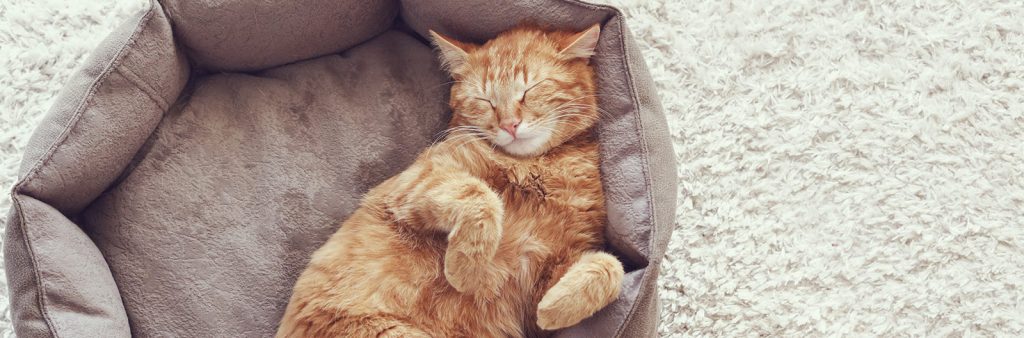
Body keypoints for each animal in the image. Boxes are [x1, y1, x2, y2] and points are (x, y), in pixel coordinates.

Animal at [274, 24, 622, 338]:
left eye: (531, 89)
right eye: (484, 100)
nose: (509, 125)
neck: (534, 168)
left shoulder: (543, 276)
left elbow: (610, 267)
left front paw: (553, 308)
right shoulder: (417, 182)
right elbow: (481, 196)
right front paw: (465, 269)